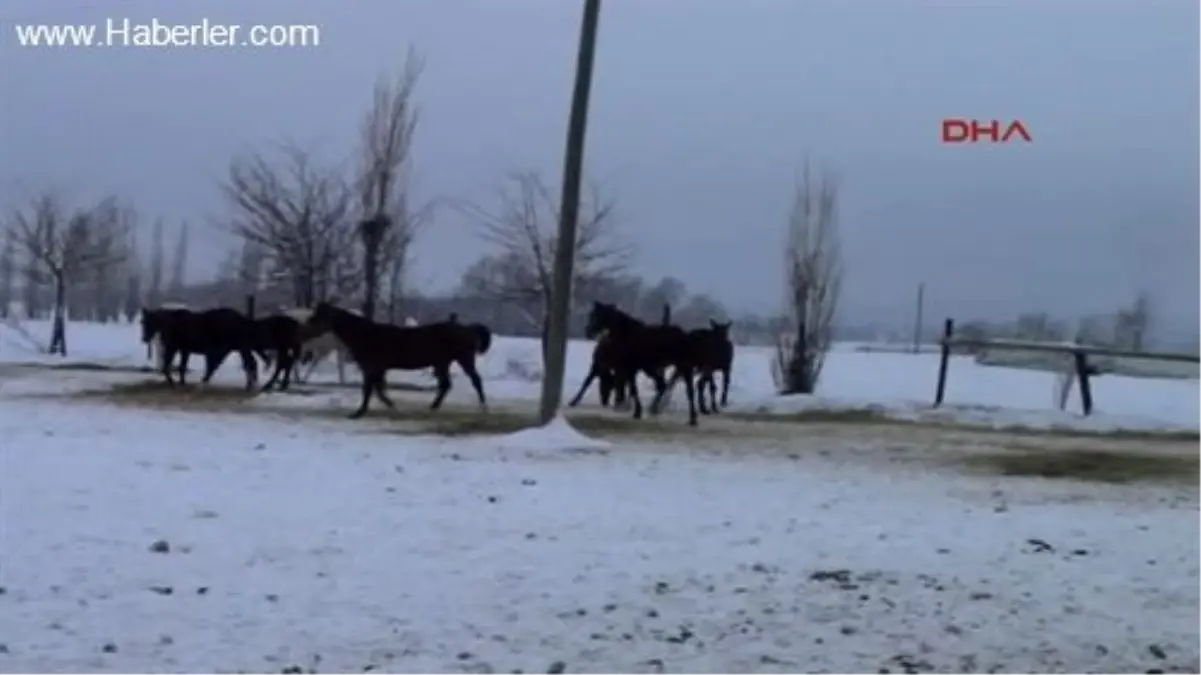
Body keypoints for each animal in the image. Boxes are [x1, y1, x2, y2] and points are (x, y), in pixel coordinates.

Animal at [305, 299, 492, 415]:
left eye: (319, 316)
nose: (305, 326)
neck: (366, 335)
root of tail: (467, 329)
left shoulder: (371, 368)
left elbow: (369, 389)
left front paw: (359, 412)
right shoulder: (376, 369)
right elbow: (378, 389)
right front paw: (390, 405)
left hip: (463, 359)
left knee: (475, 380)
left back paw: (483, 407)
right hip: (442, 363)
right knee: (446, 385)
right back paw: (433, 407)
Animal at [569, 300, 701, 422]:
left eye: (597, 315)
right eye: (591, 314)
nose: (588, 331)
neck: (625, 335)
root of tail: (686, 336)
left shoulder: (628, 369)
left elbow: (632, 389)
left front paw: (637, 412)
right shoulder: (627, 370)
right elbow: (632, 389)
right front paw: (635, 410)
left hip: (679, 367)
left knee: (678, 389)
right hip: (667, 369)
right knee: (666, 386)